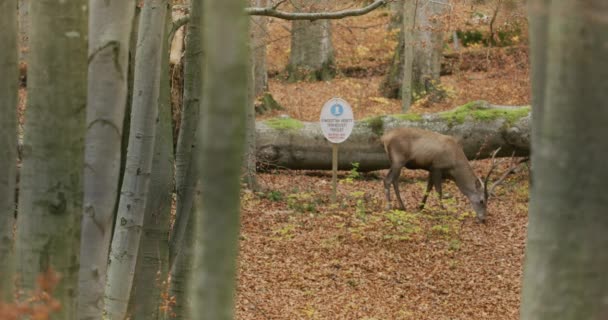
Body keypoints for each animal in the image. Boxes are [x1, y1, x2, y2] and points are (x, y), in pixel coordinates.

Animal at [382, 127, 520, 222]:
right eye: (482, 201)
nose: (483, 219)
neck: (454, 166)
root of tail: (385, 138)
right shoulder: (437, 167)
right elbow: (439, 191)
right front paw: (443, 210)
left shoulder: (431, 169)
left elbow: (428, 188)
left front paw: (420, 207)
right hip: (398, 160)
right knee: (388, 180)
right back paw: (389, 206)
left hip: (396, 162)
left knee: (394, 180)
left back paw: (402, 206)